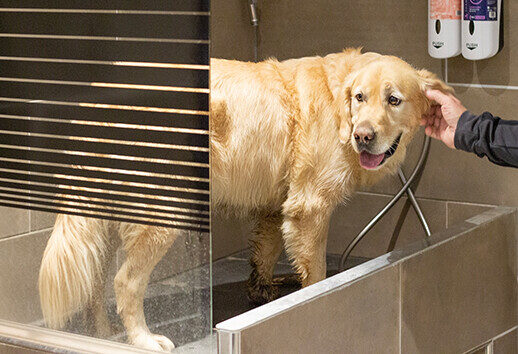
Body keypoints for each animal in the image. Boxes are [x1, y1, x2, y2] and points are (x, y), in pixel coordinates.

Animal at [38, 47, 452, 352]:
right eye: (360, 97)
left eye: (394, 100)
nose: (363, 136)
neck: (340, 105)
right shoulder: (310, 208)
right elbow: (317, 274)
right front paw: (313, 301)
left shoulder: (276, 207)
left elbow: (265, 253)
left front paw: (264, 292)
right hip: (158, 214)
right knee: (125, 283)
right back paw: (142, 339)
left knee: (95, 282)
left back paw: (102, 334)